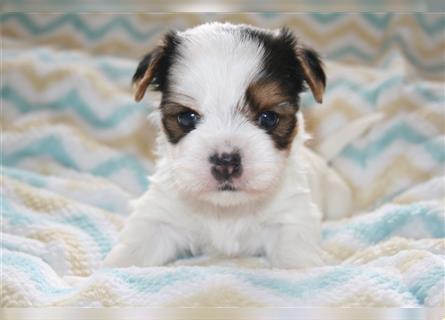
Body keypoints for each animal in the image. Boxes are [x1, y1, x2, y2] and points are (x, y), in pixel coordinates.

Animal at [102, 21, 352, 268]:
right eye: (187, 118)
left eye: (268, 117)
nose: (226, 162)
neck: (227, 210)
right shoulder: (160, 215)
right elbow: (134, 250)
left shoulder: (292, 217)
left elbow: (296, 255)